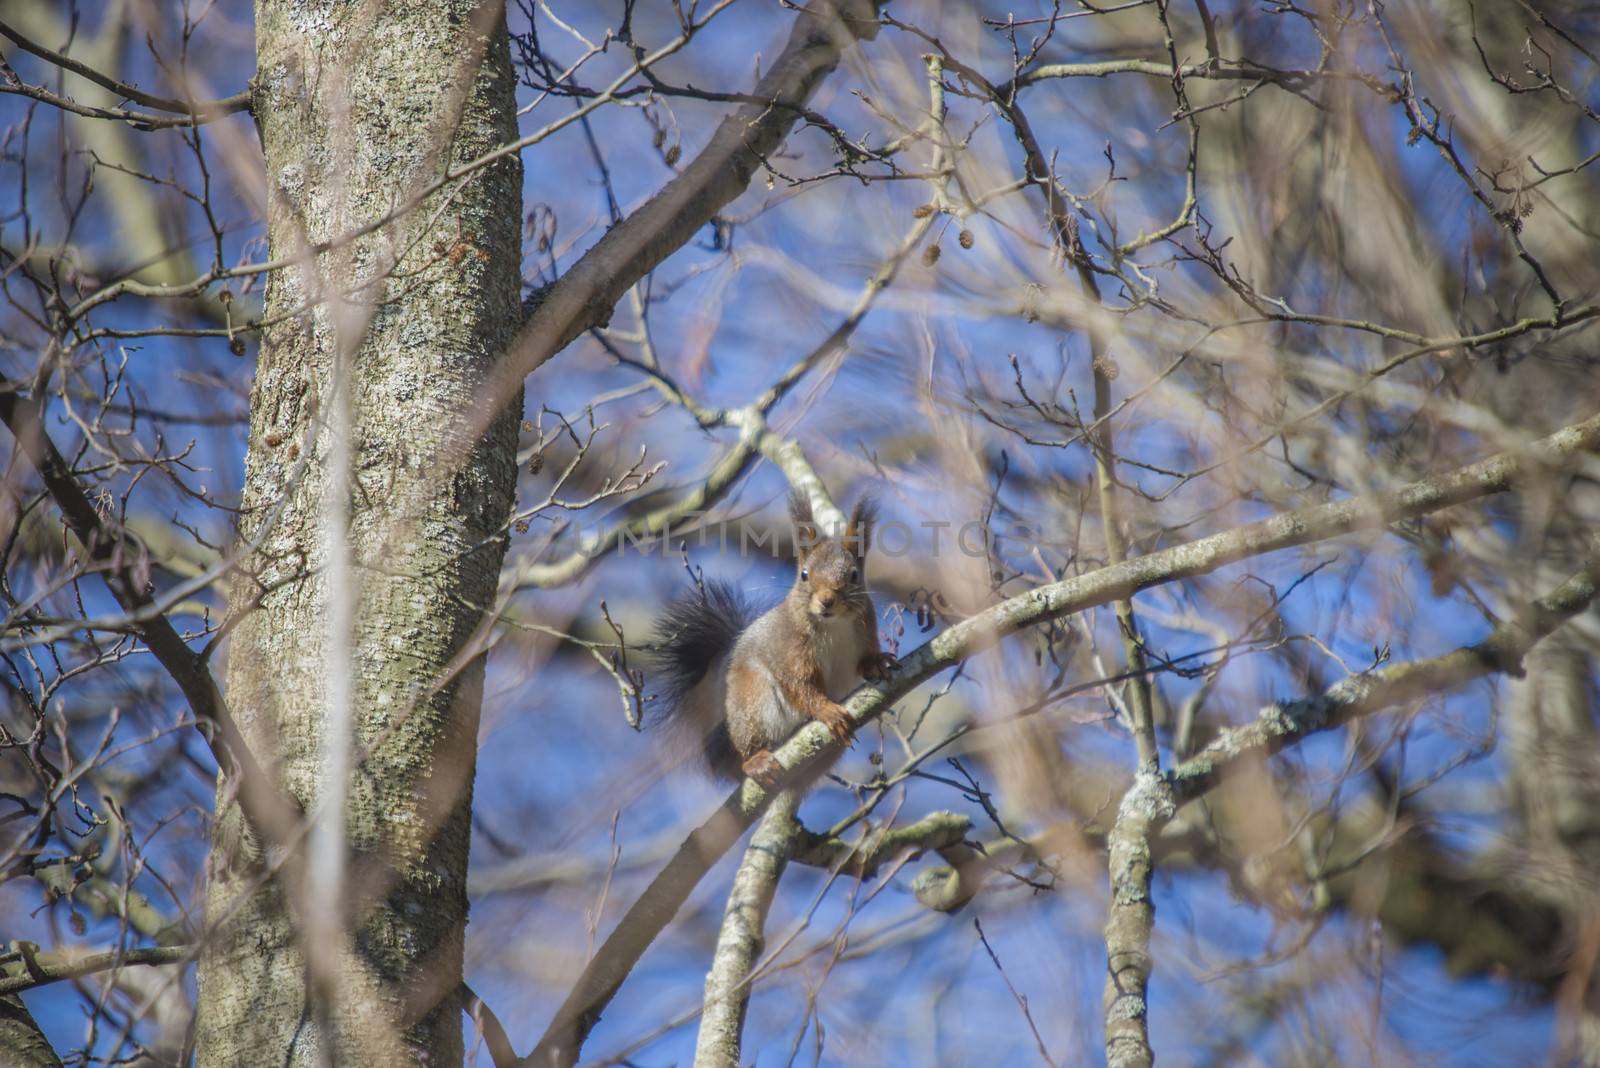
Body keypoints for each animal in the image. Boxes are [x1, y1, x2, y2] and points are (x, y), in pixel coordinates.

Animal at [652, 495, 902, 789]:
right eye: (804, 574)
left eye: (854, 575)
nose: (826, 601)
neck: (833, 625)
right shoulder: (790, 648)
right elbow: (799, 684)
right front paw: (826, 710)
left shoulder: (865, 630)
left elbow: (862, 662)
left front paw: (878, 663)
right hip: (750, 702)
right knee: (748, 745)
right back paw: (755, 762)